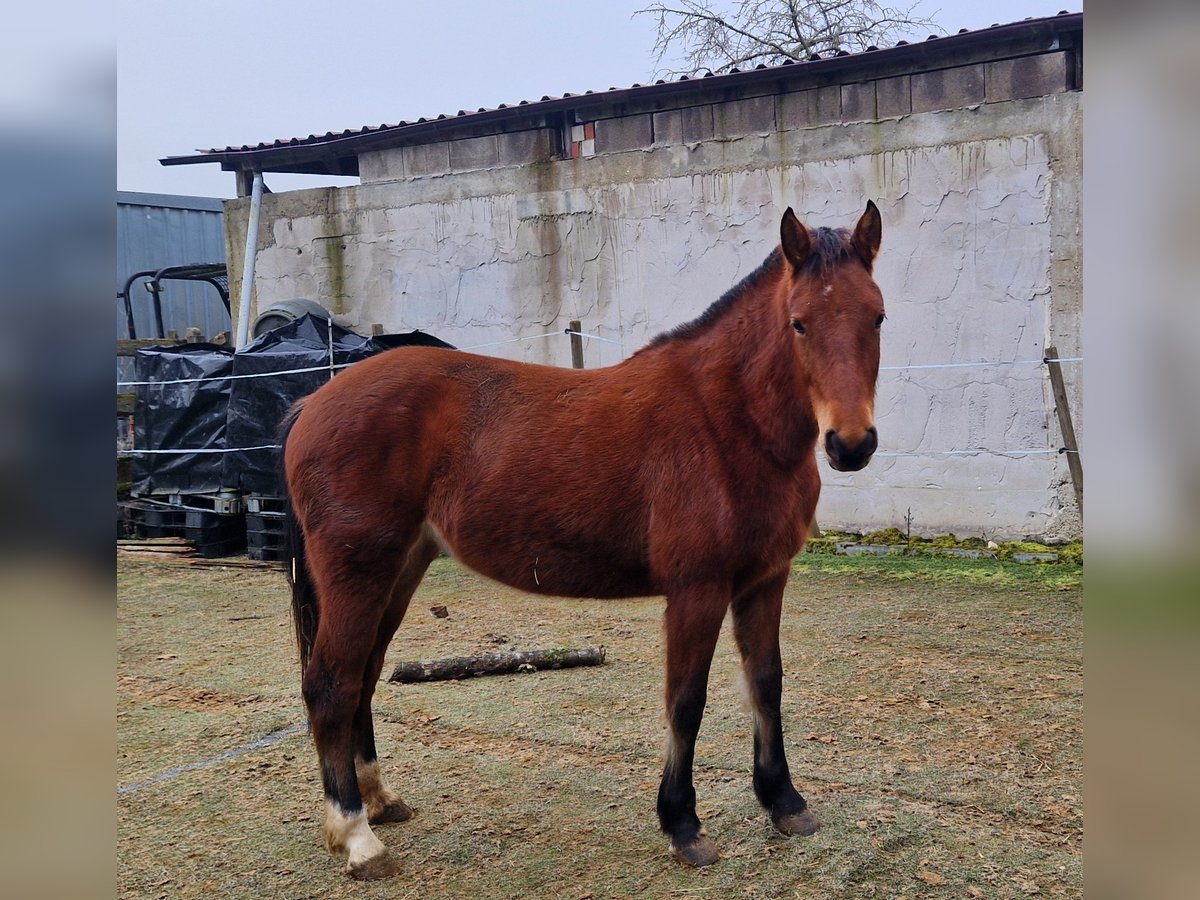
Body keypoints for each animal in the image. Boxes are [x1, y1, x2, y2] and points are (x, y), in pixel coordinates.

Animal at [278, 204, 883, 883]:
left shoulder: (764, 581)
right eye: (798, 322)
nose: (851, 444)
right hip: (357, 574)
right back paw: (357, 837)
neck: (725, 420)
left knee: (363, 675)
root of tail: (312, 402)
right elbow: (686, 701)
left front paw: (784, 803)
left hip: (398, 571)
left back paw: (380, 801)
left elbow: (767, 686)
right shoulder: (697, 591)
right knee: (331, 684)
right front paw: (683, 825)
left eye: (877, 315)